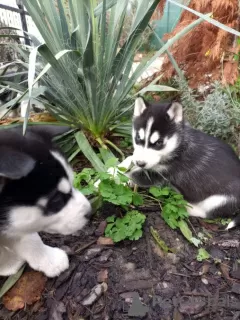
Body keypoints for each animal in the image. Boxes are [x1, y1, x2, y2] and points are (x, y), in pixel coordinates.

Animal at [120, 97, 240, 230]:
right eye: (137, 138)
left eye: (159, 143)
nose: (140, 163)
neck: (179, 145)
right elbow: (130, 159)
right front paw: (118, 167)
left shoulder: (160, 176)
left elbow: (132, 175)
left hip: (219, 200)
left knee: (207, 212)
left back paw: (187, 206)